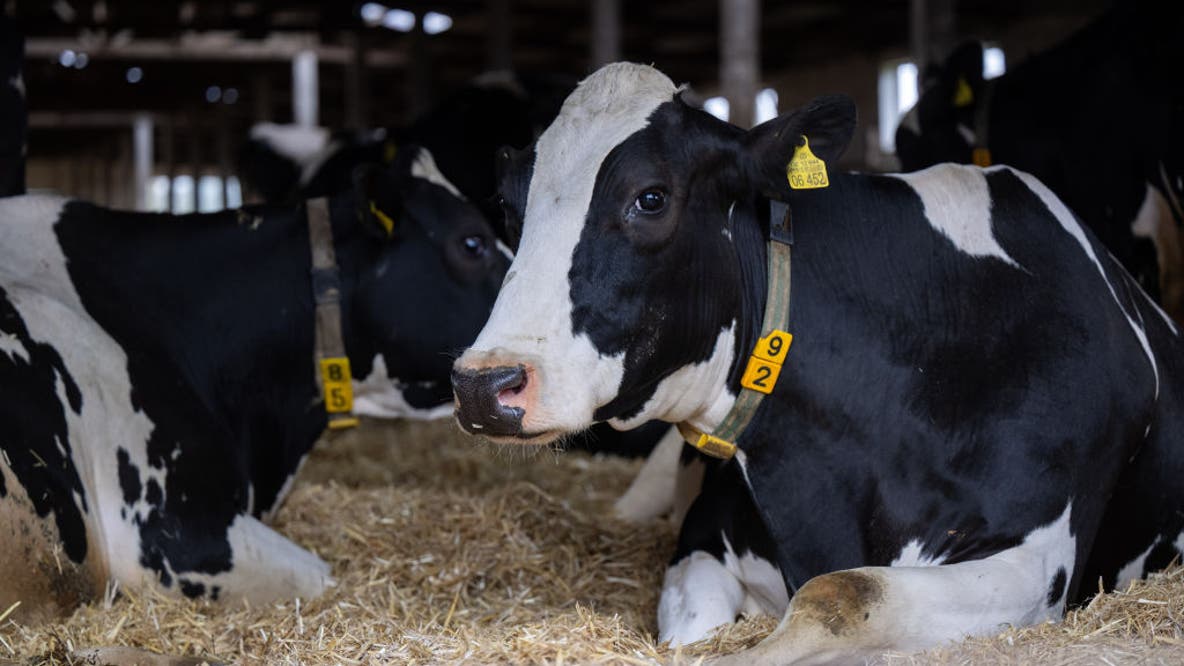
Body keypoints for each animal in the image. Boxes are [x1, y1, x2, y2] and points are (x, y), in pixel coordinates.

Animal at [450, 62, 1184, 663]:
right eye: (509, 207)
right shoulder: (700, 540)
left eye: (650, 197)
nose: (485, 384)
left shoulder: (1034, 563)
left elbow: (842, 595)